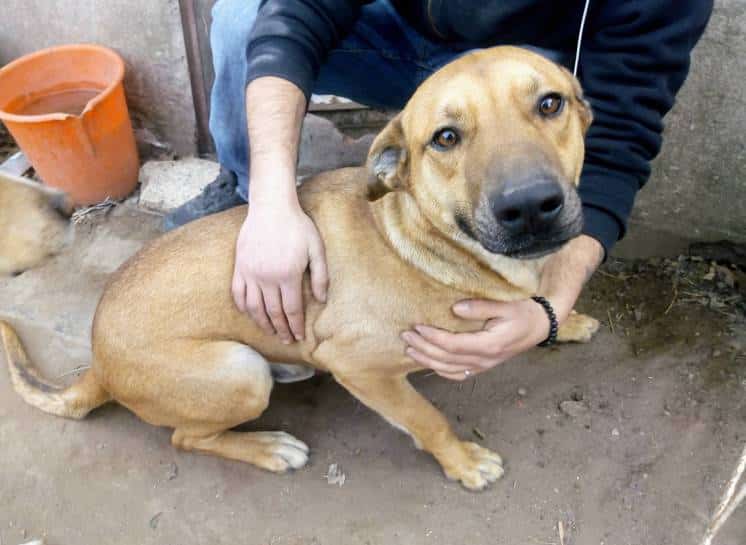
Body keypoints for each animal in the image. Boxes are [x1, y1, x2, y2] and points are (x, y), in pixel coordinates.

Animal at [0, 46, 600, 488]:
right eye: (446, 138)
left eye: (550, 104)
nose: (530, 206)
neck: (421, 242)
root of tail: (98, 363)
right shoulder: (359, 365)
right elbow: (425, 417)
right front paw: (462, 461)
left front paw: (562, 319)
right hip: (239, 371)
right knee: (185, 438)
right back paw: (267, 447)